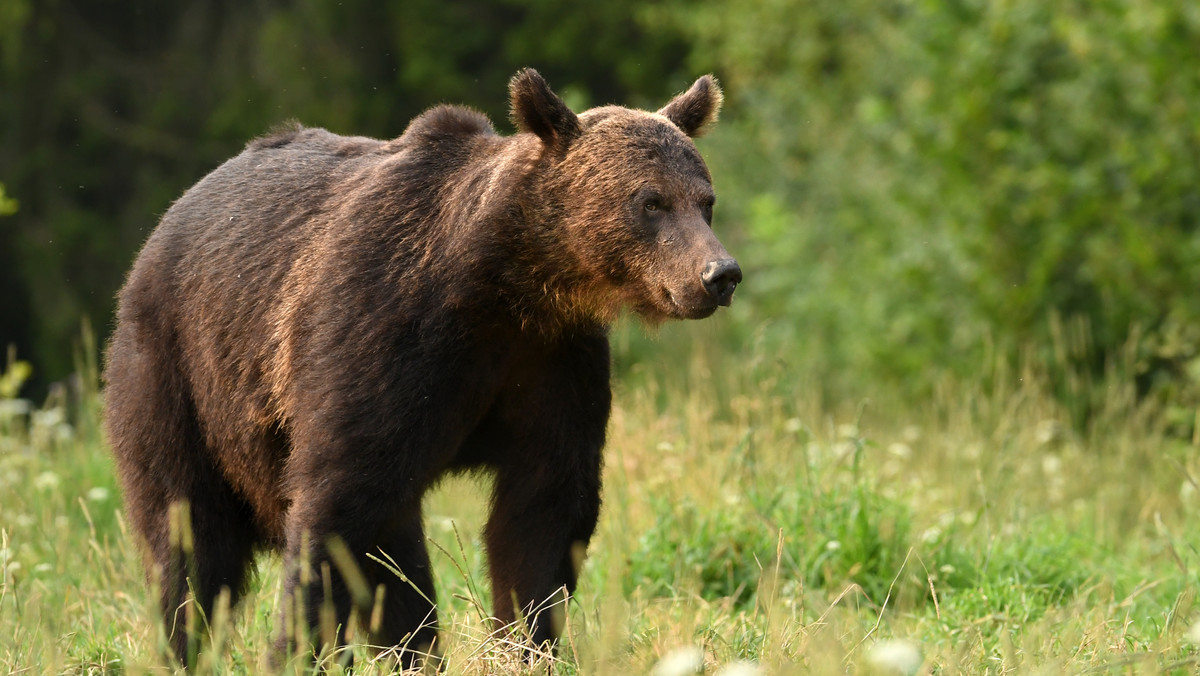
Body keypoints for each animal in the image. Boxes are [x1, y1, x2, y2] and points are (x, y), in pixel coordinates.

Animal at [105, 68, 739, 667]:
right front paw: (295, 649)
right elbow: (339, 503)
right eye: (651, 201)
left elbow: (542, 508)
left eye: (705, 200)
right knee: (190, 534)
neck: (507, 284)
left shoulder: (552, 360)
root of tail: (169, 218)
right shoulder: (384, 334)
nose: (720, 274)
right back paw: (183, 644)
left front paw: (528, 641)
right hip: (177, 374)